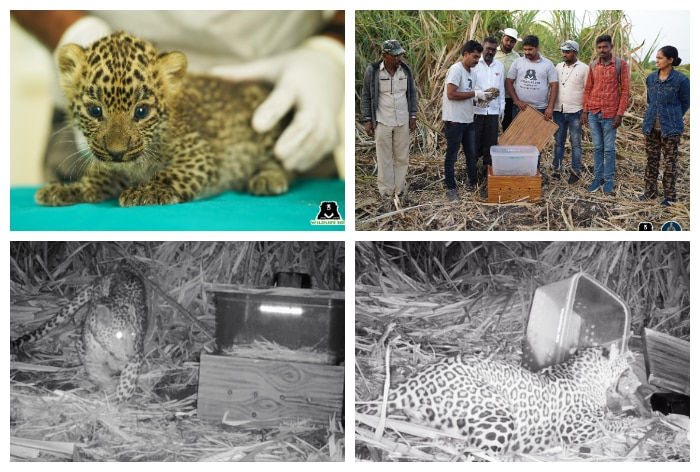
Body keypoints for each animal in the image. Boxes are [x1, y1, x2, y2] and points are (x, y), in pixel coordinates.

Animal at [11, 268, 148, 402]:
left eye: (133, 334)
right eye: (118, 335)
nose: (129, 354)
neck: (107, 350)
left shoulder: (138, 353)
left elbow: (129, 377)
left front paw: (121, 397)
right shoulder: (87, 350)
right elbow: (94, 370)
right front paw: (107, 385)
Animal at [35, 31, 290, 207]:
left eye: (141, 112)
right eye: (95, 111)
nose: (117, 152)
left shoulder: (199, 155)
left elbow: (170, 175)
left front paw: (144, 191)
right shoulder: (113, 167)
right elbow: (99, 177)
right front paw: (67, 189)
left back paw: (268, 178)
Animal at [356, 345, 633, 456]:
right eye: (624, 357)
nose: (632, 357)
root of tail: (415, 379)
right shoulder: (576, 428)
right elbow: (608, 425)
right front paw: (635, 422)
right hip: (499, 416)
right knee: (475, 453)